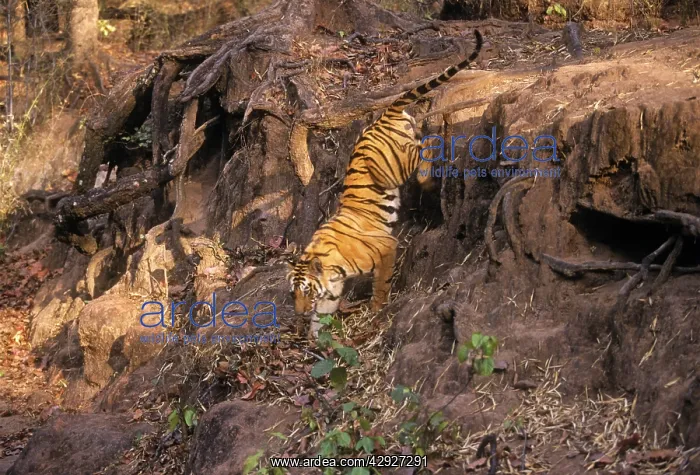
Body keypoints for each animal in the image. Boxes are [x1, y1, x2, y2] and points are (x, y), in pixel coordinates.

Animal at [288, 29, 483, 338]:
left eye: (306, 291)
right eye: (293, 293)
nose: (298, 312)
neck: (328, 266)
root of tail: (384, 115)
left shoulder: (386, 248)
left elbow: (381, 283)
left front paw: (377, 309)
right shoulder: (331, 289)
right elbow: (323, 315)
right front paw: (318, 340)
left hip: (393, 168)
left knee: (428, 143)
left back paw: (429, 173)